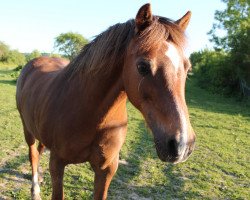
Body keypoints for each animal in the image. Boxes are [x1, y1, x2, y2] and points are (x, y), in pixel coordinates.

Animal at [16, 3, 195, 200]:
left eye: (188, 68)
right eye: (142, 66)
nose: (181, 145)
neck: (91, 115)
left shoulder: (106, 169)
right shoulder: (57, 164)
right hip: (27, 130)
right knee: (33, 154)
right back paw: (35, 189)